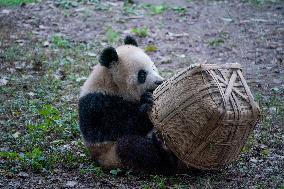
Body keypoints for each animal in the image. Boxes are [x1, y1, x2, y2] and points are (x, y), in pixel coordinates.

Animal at [77, 36, 181, 173]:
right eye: (142, 74)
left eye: (153, 67)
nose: (160, 81)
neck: (112, 85)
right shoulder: (97, 105)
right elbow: (119, 126)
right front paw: (146, 103)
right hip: (113, 155)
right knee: (132, 147)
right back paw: (164, 153)